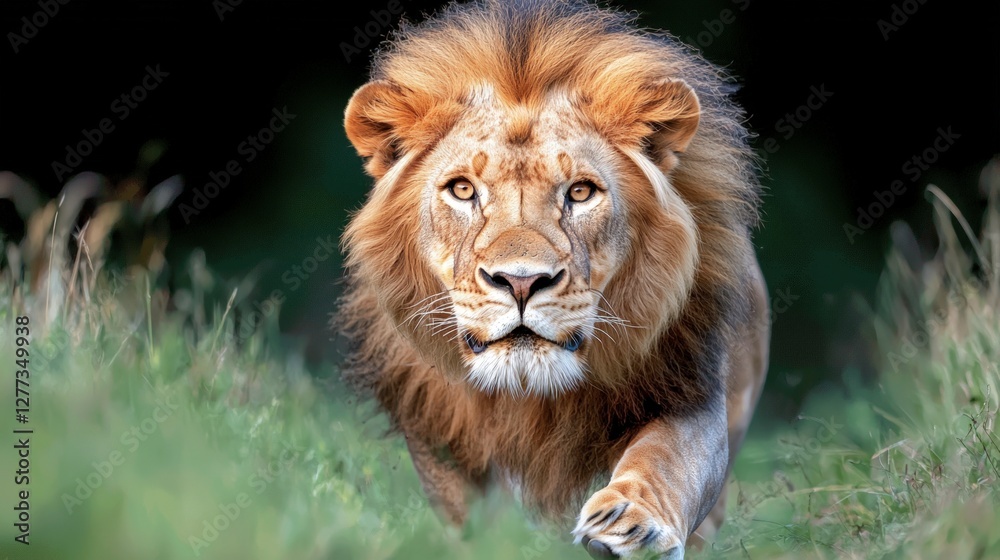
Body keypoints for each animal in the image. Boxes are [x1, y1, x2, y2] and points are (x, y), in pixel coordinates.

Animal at [336, 0, 769, 557]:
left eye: (580, 192)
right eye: (463, 189)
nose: (521, 282)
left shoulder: (692, 390)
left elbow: (666, 459)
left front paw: (631, 524)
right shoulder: (438, 431)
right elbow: (475, 515)